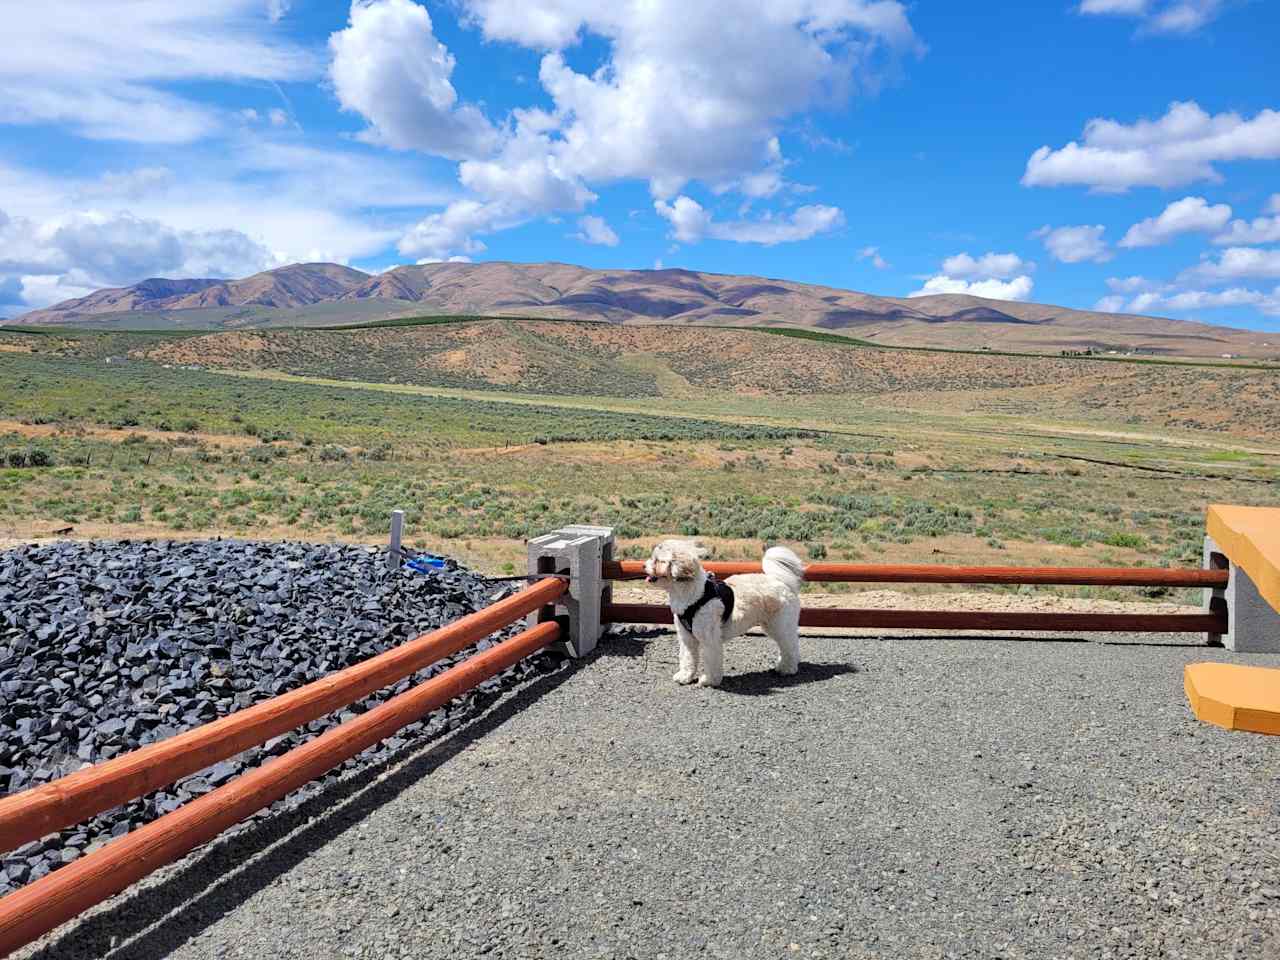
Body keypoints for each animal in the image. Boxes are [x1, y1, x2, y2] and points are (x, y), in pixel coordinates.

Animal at [645, 542, 803, 691]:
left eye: (657, 560)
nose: (643, 565)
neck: (693, 596)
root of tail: (781, 581)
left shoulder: (709, 639)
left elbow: (711, 661)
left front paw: (709, 680)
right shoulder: (687, 638)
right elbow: (687, 658)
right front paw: (685, 676)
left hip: (780, 624)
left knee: (790, 645)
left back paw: (787, 669)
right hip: (773, 626)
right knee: (788, 645)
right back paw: (783, 664)